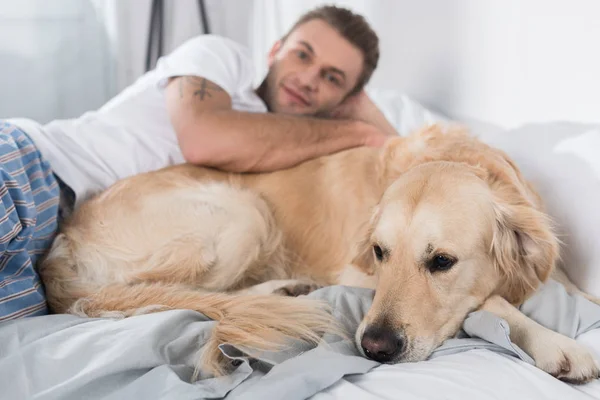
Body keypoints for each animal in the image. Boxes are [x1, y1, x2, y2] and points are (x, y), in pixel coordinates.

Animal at [39, 123, 596, 382]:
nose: (374, 347)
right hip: (242, 213)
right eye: (379, 252)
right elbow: (492, 300)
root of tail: (56, 248)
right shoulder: (354, 272)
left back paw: (286, 289)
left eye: (442, 262)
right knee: (158, 296)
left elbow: (568, 286)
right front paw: (556, 344)